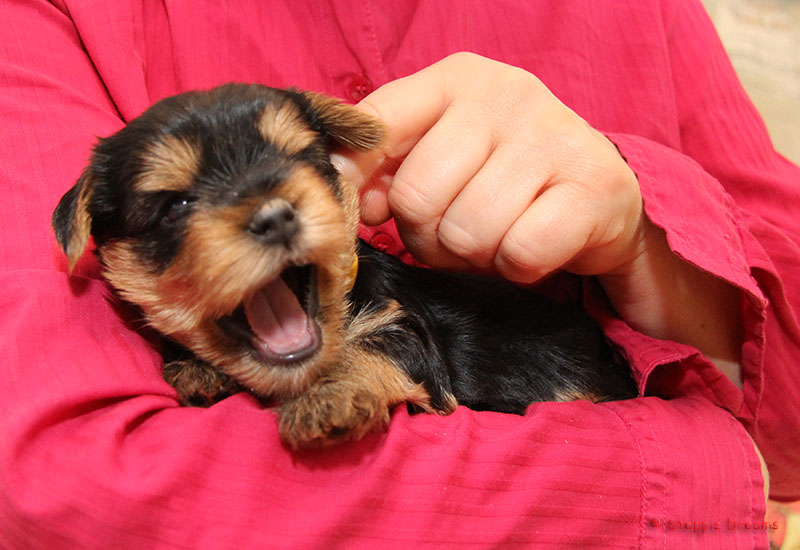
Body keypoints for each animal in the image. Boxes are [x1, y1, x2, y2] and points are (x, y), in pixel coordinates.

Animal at [52, 83, 637, 449]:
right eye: (175, 206)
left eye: (301, 163)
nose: (276, 216)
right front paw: (195, 368)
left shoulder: (407, 336)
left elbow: (369, 352)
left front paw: (329, 399)